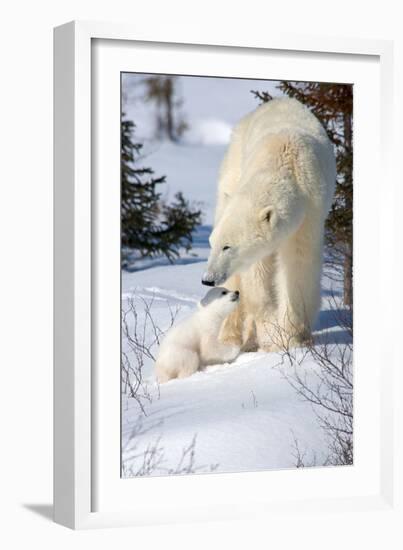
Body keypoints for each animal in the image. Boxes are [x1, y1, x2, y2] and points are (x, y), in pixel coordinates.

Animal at [202, 97, 338, 352]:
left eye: (227, 246)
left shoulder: (310, 213)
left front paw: (291, 337)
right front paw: (271, 331)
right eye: (211, 243)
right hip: (233, 165)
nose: (208, 278)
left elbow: (298, 266)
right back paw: (230, 337)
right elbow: (257, 274)